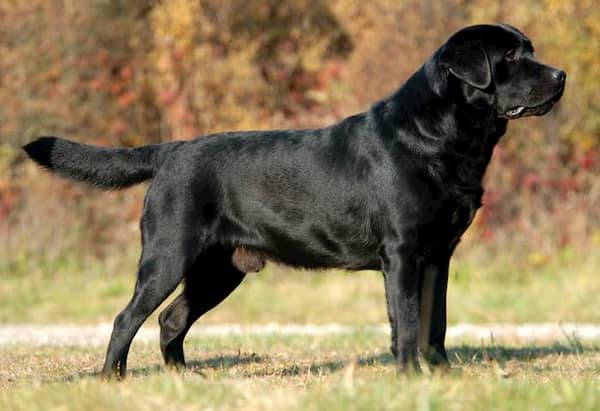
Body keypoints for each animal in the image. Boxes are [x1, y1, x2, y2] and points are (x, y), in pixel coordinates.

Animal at [23, 23, 564, 380]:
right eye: (509, 56)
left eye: (530, 50)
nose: (560, 75)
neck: (441, 137)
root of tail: (170, 150)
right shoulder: (403, 252)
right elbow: (408, 321)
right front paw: (409, 377)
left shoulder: (439, 256)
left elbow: (438, 321)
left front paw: (442, 374)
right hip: (169, 253)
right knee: (127, 317)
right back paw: (112, 379)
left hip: (220, 268)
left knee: (170, 319)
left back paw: (185, 380)